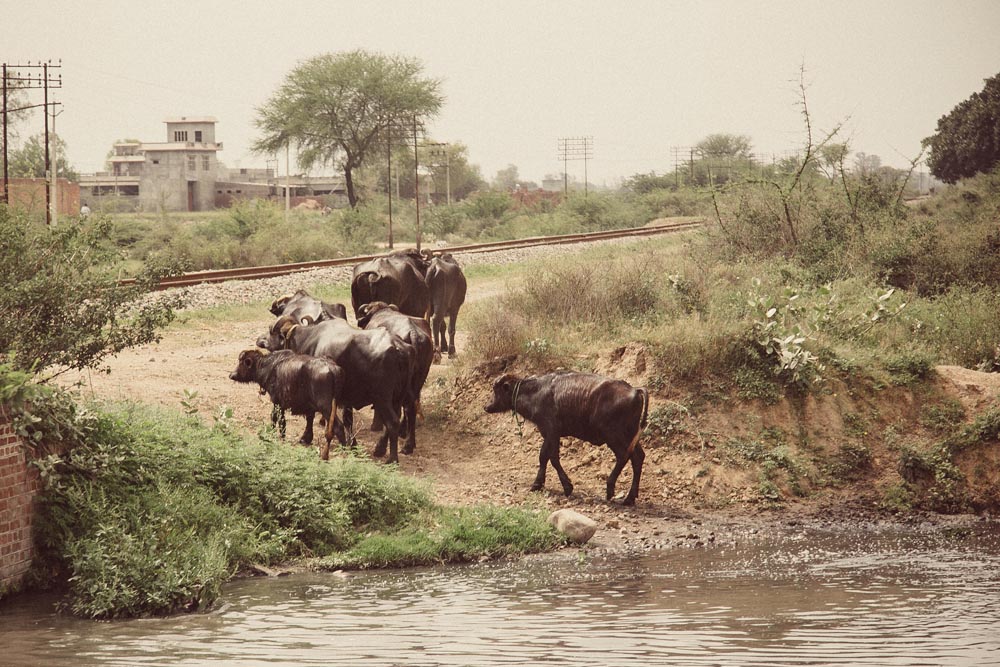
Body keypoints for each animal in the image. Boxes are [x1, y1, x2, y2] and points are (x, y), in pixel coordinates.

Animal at [262, 314, 414, 464]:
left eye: (271, 332)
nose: (261, 341)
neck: (308, 338)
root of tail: (398, 348)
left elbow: (310, 415)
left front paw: (306, 437)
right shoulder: (347, 398)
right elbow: (348, 421)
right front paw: (353, 445)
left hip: (382, 399)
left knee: (392, 422)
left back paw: (392, 458)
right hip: (399, 397)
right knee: (399, 416)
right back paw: (380, 449)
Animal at [360, 302, 438, 454]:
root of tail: (413, 333)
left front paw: (375, 425)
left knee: (397, 410)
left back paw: (382, 446)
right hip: (418, 379)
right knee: (410, 406)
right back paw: (408, 443)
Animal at [484, 370, 648, 506]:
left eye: (496, 389)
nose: (486, 407)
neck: (535, 392)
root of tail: (635, 390)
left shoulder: (552, 432)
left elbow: (553, 458)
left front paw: (567, 486)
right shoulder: (548, 434)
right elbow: (543, 456)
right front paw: (537, 484)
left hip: (613, 435)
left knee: (624, 456)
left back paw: (610, 490)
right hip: (630, 435)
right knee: (638, 457)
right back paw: (629, 498)